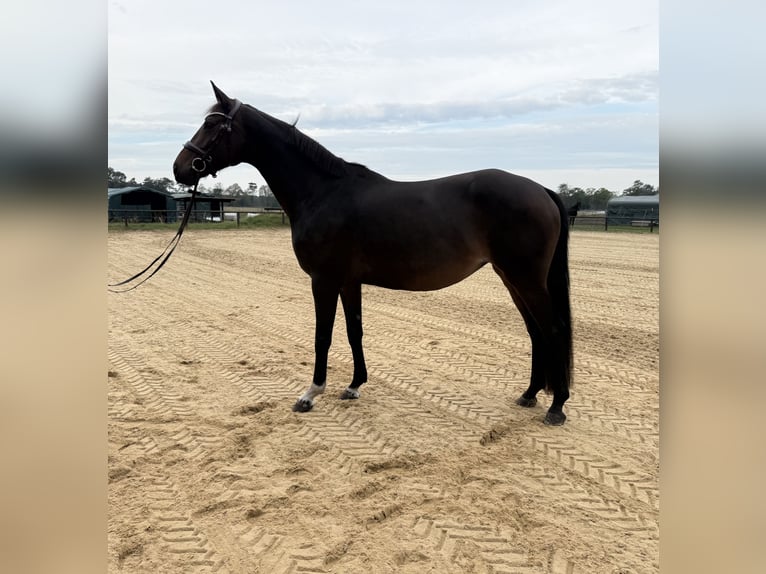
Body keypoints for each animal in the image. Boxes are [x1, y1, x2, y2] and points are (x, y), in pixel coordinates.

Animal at [173, 82, 573, 425]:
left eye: (212, 125)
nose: (180, 168)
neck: (323, 192)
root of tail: (540, 189)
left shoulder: (324, 280)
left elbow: (323, 335)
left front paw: (310, 394)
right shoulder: (349, 281)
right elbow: (355, 330)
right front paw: (353, 386)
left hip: (525, 278)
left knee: (552, 329)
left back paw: (556, 406)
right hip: (511, 278)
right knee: (536, 331)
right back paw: (529, 394)